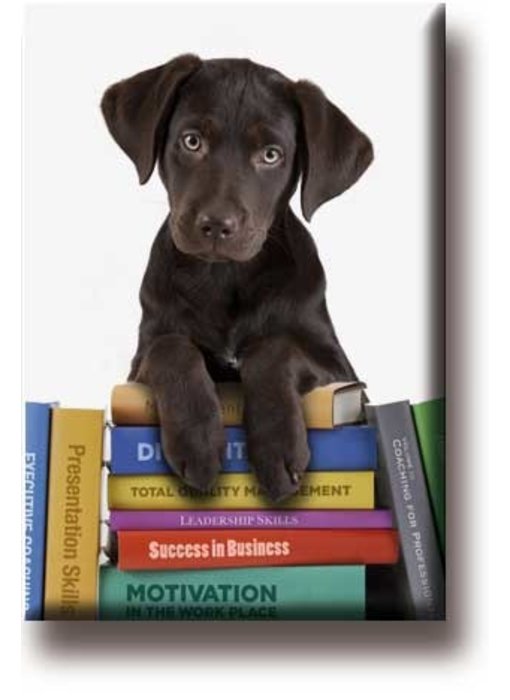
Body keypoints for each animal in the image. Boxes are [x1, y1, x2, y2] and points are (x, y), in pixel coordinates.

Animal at [100, 56, 370, 504]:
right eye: (192, 141)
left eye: (271, 155)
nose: (216, 225)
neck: (224, 276)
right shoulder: (140, 363)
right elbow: (171, 347)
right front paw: (197, 441)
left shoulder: (342, 372)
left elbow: (274, 348)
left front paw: (278, 445)